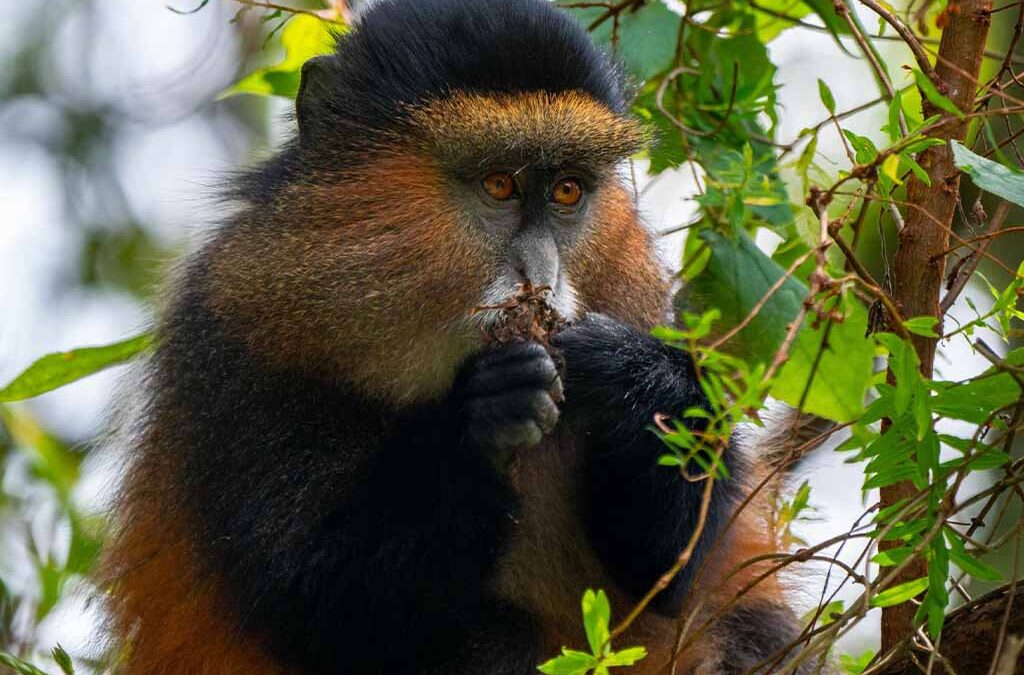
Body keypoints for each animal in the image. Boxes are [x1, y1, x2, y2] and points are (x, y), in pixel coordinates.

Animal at [101, 1, 815, 673]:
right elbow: (319, 606)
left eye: (567, 190)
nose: (542, 275)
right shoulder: (231, 332)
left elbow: (668, 571)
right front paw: (487, 415)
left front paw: (635, 376)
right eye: (499, 184)